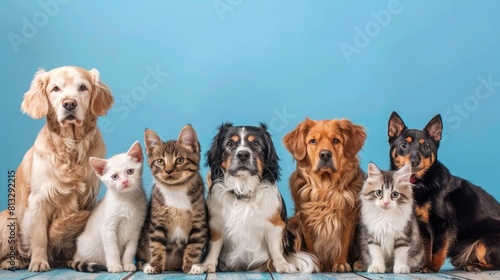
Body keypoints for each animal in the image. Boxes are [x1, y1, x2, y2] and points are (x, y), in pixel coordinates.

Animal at [67, 141, 147, 272]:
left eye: (130, 171)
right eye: (115, 177)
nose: (125, 182)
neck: (127, 200)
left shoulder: (136, 229)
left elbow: (130, 250)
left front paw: (127, 264)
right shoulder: (107, 228)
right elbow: (112, 249)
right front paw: (115, 265)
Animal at [136, 125, 208, 274]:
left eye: (180, 160)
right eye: (160, 161)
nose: (168, 171)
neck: (176, 190)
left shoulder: (199, 222)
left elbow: (195, 245)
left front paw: (192, 265)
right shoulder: (157, 221)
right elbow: (157, 244)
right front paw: (155, 265)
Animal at [386, 111, 500, 272]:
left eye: (425, 147)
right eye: (404, 145)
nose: (414, 162)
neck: (421, 182)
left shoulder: (442, 225)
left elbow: (437, 249)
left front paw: (432, 267)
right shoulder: (423, 227)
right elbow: (428, 248)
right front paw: (424, 265)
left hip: (484, 240)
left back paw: (474, 265)